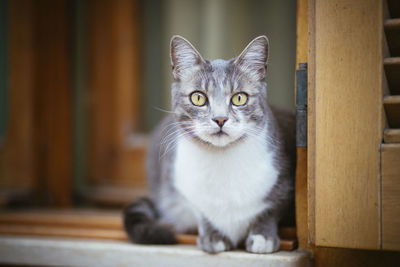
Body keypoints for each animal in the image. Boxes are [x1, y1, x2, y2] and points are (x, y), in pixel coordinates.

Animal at [123, 35, 296, 255]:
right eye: (198, 97)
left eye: (239, 97)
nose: (220, 119)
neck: (222, 162)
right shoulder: (183, 186)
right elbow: (201, 210)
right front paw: (212, 236)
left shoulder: (281, 181)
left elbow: (270, 209)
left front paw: (262, 236)